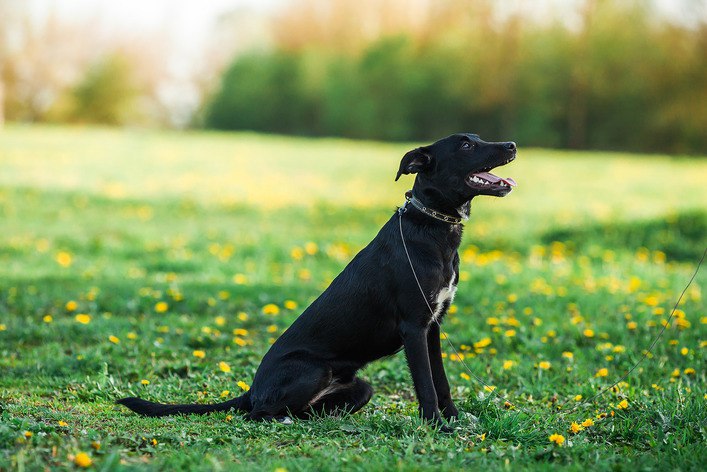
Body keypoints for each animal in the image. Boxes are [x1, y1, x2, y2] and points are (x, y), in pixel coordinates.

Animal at [119, 134, 516, 432]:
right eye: (465, 145)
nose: (512, 145)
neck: (431, 226)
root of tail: (252, 389)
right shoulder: (414, 328)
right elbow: (426, 386)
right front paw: (437, 427)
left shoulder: (433, 326)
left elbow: (442, 381)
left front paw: (454, 420)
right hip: (313, 369)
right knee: (258, 414)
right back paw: (278, 420)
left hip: (360, 387)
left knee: (307, 410)